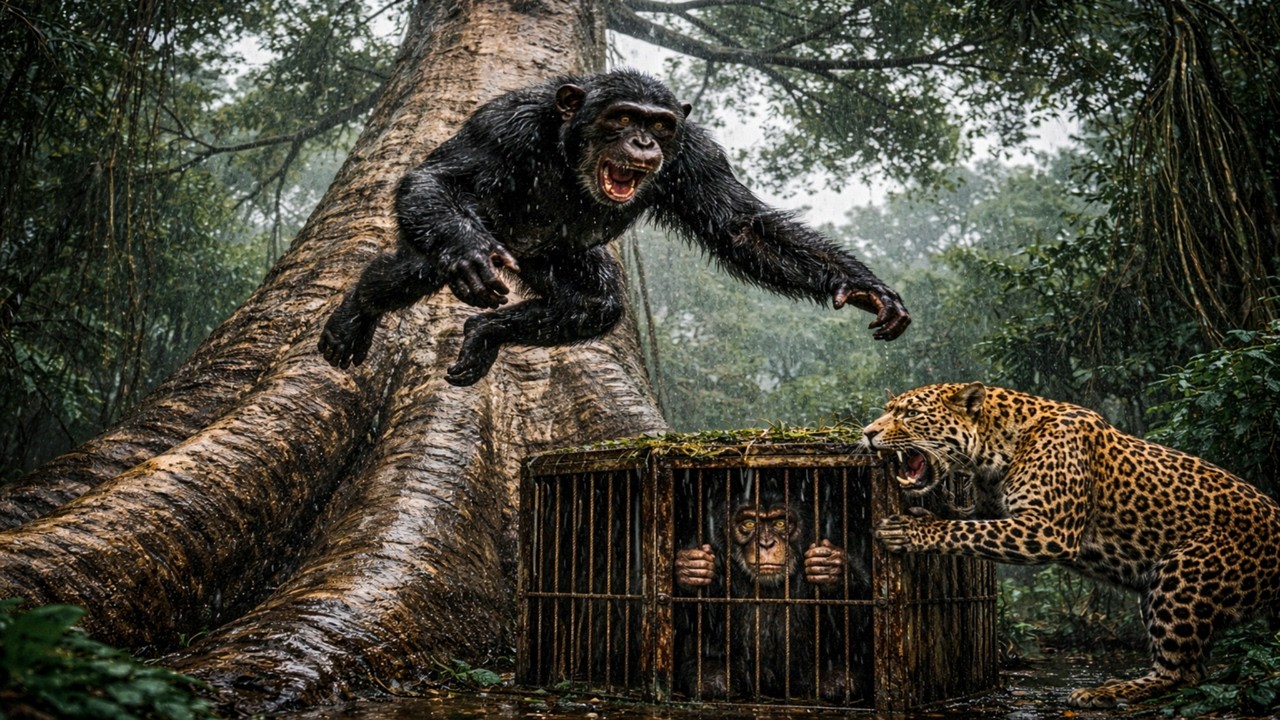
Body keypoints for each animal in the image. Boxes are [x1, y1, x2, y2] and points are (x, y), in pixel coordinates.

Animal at [319, 69, 910, 386]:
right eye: (623, 117)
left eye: (660, 125)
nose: (643, 142)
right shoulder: (505, 124)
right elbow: (440, 176)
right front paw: (467, 252)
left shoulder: (696, 156)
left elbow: (741, 227)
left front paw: (866, 288)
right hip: (479, 235)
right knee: (416, 266)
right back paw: (356, 314)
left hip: (551, 260)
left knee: (596, 304)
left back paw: (485, 333)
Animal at [862, 381, 1280, 708]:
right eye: (887, 411)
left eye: (911, 414)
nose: (867, 432)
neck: (994, 450)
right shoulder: (996, 511)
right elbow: (966, 521)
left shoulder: (1047, 530)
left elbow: (964, 533)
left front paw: (911, 531)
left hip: (1180, 575)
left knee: (1184, 674)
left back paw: (1106, 692)